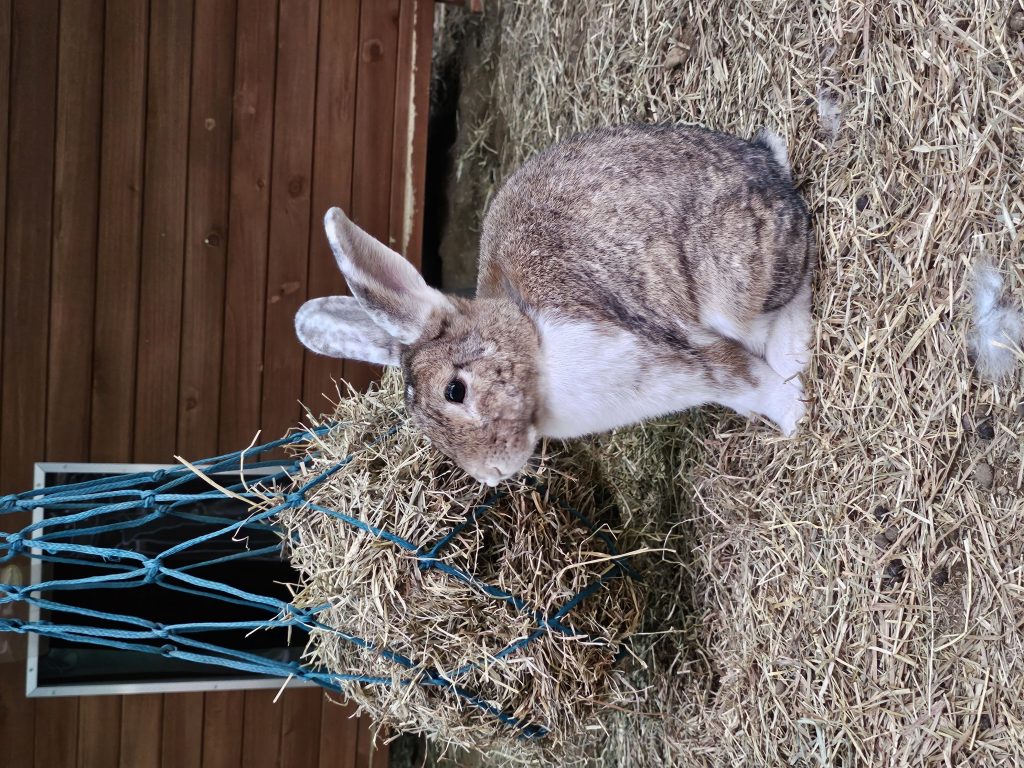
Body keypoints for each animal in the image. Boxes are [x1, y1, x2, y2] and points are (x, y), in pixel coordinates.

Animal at [296, 123, 814, 486]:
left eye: (454, 391)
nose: (492, 474)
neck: (533, 341)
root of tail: (764, 162)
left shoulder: (677, 355)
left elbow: (749, 380)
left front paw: (794, 417)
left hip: (730, 285)